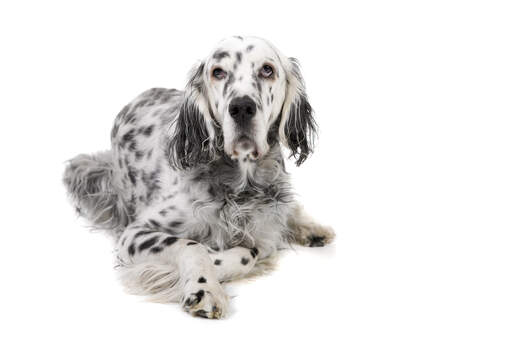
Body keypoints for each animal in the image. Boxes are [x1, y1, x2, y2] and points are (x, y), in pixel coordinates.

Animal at [63, 35, 336, 318]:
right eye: (218, 72)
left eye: (267, 70)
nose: (241, 107)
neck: (241, 185)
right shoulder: (135, 232)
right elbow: (194, 246)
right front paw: (204, 288)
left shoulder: (265, 227)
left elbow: (250, 251)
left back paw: (313, 229)